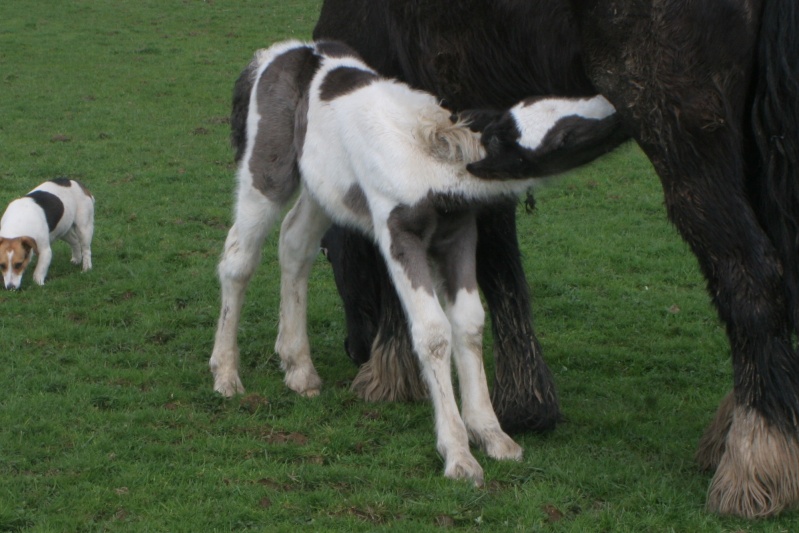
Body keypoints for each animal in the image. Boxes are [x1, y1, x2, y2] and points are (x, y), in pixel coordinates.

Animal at [209, 39, 620, 484]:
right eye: (564, 135)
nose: (616, 107)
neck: (429, 162)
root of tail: (280, 52)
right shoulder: (398, 236)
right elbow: (433, 331)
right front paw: (458, 455)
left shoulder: (459, 235)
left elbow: (469, 323)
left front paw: (492, 436)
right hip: (267, 173)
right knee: (238, 259)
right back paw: (226, 375)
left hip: (325, 188)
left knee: (294, 243)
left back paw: (299, 369)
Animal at [314, 0, 799, 516]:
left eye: (328, 255)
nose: (354, 348)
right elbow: (499, 269)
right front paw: (525, 403)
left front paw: (390, 373)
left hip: (684, 142)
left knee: (751, 274)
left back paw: (755, 459)